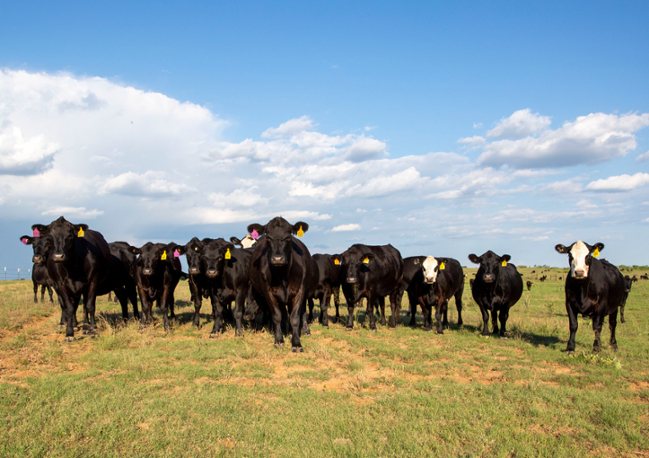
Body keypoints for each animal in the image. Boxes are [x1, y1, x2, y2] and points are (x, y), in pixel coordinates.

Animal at [242, 218, 316, 350]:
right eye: (268, 238)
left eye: (288, 237)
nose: (277, 259)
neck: (283, 275)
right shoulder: (269, 292)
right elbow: (277, 316)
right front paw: (279, 340)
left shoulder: (300, 291)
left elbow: (295, 317)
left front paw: (296, 343)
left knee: (301, 311)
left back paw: (304, 331)